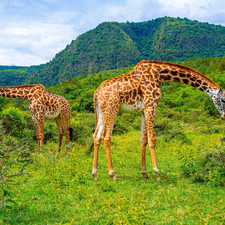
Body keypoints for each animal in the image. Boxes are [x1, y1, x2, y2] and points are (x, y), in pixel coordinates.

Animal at [92, 60, 225, 181]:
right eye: (223, 99)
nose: (224, 116)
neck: (159, 75)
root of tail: (96, 93)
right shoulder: (151, 105)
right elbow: (152, 140)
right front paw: (156, 172)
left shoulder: (143, 110)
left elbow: (143, 140)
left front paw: (144, 173)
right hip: (112, 109)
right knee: (106, 137)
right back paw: (112, 174)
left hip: (101, 112)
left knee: (96, 136)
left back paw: (95, 174)